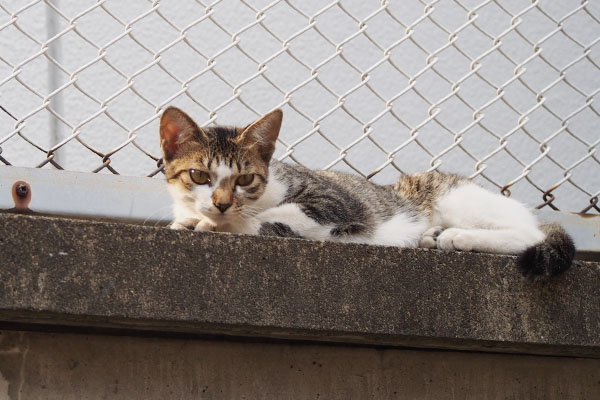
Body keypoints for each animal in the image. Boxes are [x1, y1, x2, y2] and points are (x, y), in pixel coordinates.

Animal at [161, 104, 576, 276]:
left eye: (245, 179)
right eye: (199, 176)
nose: (221, 204)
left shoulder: (336, 203)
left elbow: (270, 217)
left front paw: (223, 225)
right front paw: (192, 221)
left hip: (456, 197)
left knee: (528, 234)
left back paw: (457, 236)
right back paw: (433, 236)